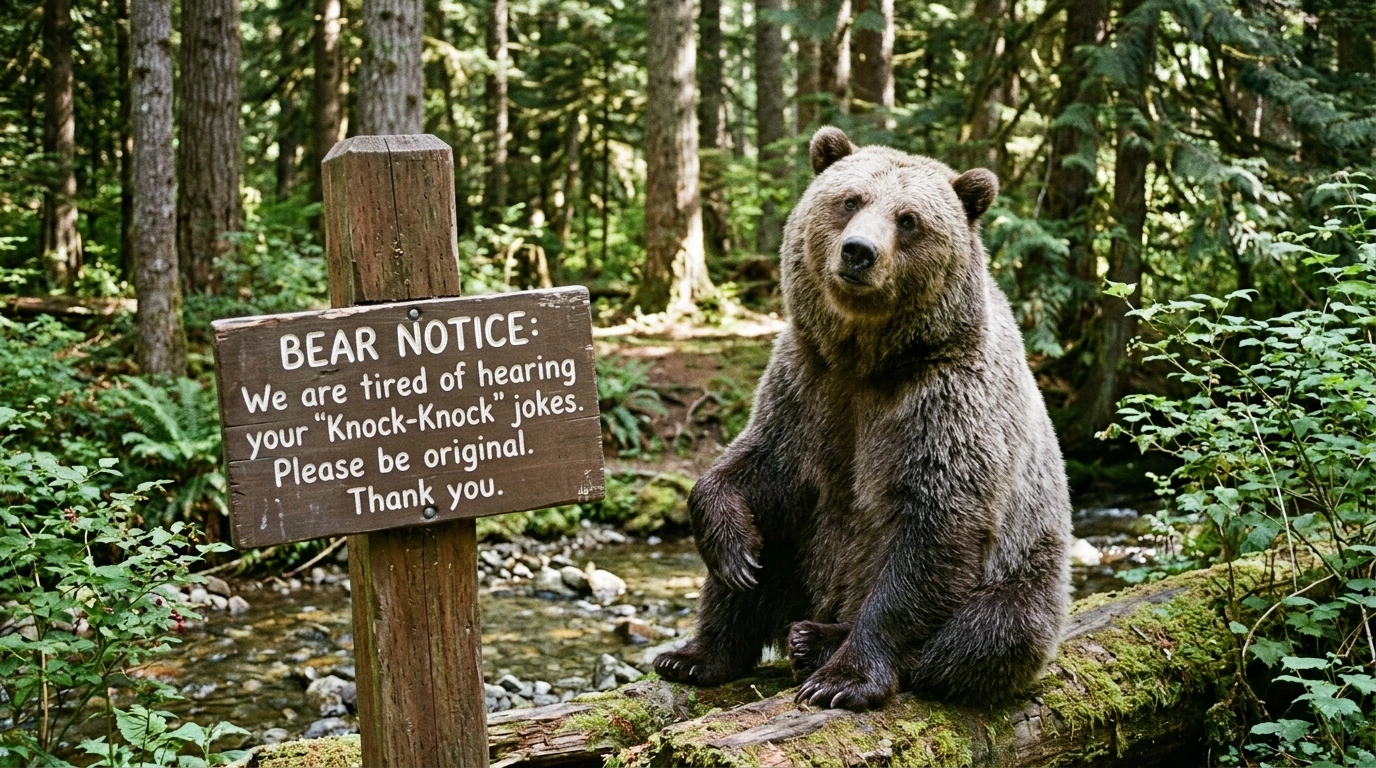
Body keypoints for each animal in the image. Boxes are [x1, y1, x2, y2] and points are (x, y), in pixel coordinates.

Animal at [652, 127, 1073, 711]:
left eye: (909, 218)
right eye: (850, 200)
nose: (858, 252)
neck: (869, 359)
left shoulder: (945, 402)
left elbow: (931, 529)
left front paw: (844, 679)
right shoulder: (807, 384)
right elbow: (761, 464)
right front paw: (734, 549)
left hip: (1027, 573)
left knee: (993, 632)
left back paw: (816, 641)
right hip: (803, 559)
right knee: (763, 556)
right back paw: (696, 654)